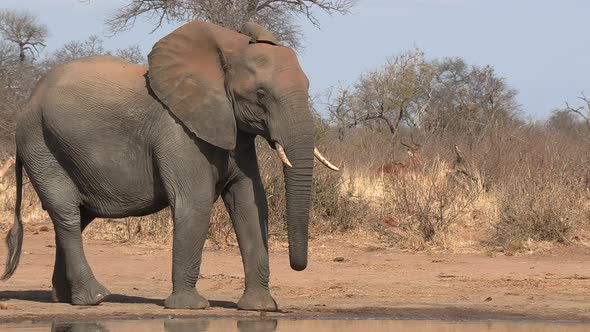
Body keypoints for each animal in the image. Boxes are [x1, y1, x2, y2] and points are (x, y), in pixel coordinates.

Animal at [1, 20, 338, 312]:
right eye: (260, 94)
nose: (298, 266)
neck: (223, 55)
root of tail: (30, 99)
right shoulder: (179, 132)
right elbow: (196, 202)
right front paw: (191, 306)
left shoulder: (235, 133)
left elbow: (249, 202)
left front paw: (260, 308)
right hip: (40, 144)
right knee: (67, 214)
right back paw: (94, 298)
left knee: (78, 216)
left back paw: (64, 299)